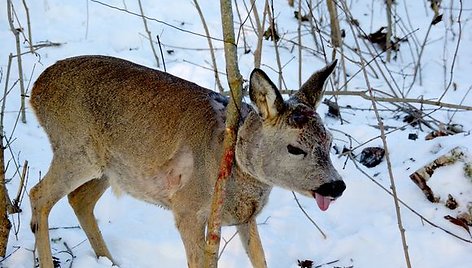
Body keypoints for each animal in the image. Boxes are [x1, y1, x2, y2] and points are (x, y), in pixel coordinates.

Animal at [30, 55, 346, 268]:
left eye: (330, 142)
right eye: (295, 148)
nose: (336, 186)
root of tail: (35, 90)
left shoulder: (246, 217)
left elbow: (260, 259)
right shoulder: (187, 207)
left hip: (109, 168)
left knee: (79, 199)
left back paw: (110, 261)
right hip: (74, 148)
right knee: (39, 194)